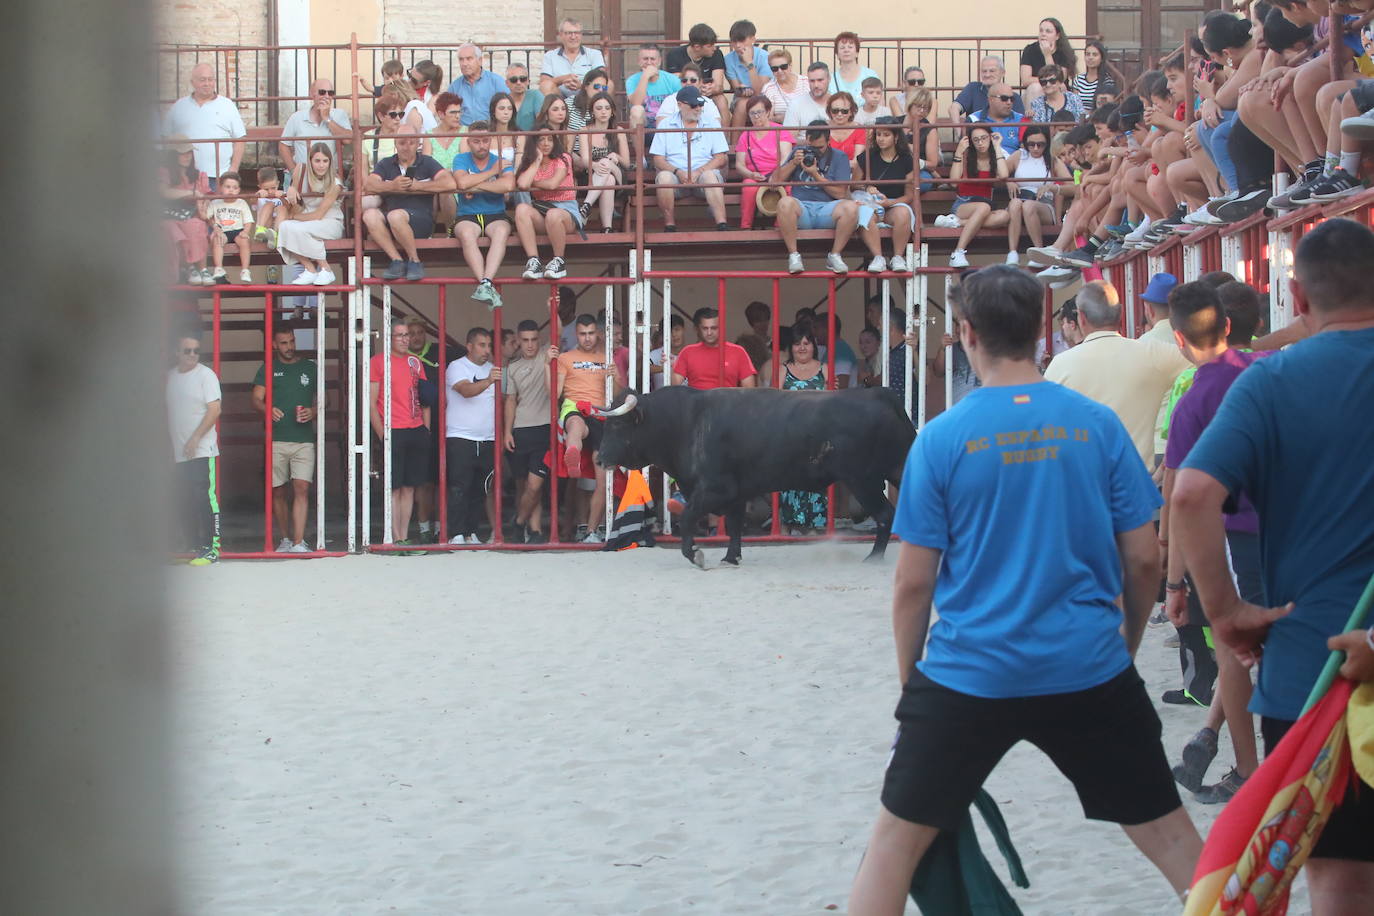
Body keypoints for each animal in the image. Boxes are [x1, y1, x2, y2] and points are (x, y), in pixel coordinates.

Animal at [590, 387, 912, 565]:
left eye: (618, 426)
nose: (599, 458)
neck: (685, 421)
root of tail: (879, 393)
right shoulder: (736, 493)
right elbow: (734, 526)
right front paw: (731, 557)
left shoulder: (715, 488)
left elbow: (691, 516)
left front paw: (696, 554)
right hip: (896, 467)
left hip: (863, 480)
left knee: (885, 515)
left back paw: (873, 558)